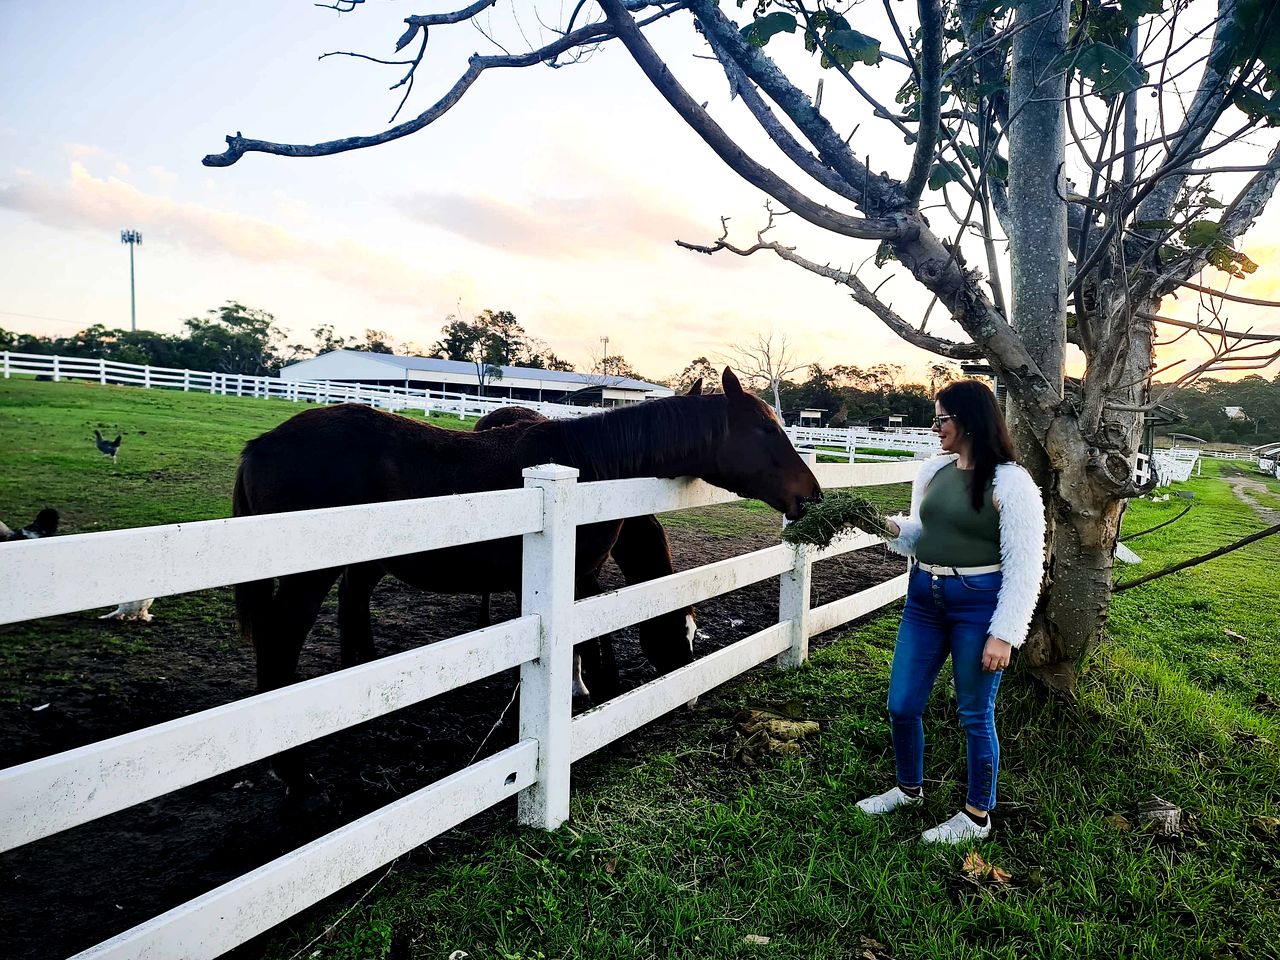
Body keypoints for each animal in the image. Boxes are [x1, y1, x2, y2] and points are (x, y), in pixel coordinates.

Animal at [233, 367, 820, 795]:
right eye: (766, 429)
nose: (810, 494)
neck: (589, 468)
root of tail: (261, 444)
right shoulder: (572, 577)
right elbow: (591, 648)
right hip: (307, 580)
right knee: (280, 645)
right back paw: (295, 775)